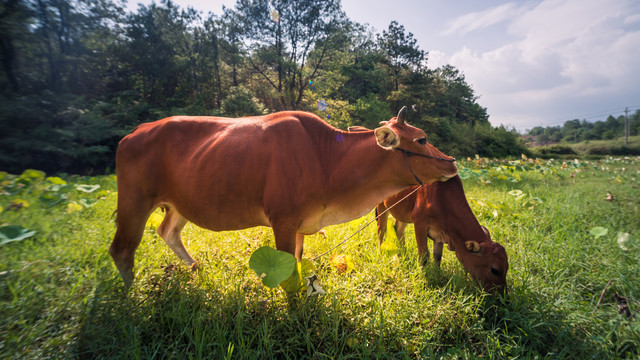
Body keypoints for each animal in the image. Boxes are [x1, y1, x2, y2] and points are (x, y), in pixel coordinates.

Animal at [111, 107, 460, 286]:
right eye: (422, 139)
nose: (452, 161)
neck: (326, 157)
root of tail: (134, 132)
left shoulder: (301, 225)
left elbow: (299, 261)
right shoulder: (283, 221)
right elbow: (287, 272)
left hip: (179, 203)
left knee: (166, 231)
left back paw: (196, 269)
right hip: (133, 202)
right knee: (122, 250)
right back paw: (132, 301)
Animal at [378, 176, 508, 294]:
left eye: (507, 267)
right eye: (495, 270)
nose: (502, 296)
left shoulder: (440, 233)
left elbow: (437, 256)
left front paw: (437, 274)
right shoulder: (419, 222)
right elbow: (424, 255)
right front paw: (423, 276)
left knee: (398, 229)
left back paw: (404, 254)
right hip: (381, 207)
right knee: (381, 230)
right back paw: (380, 251)